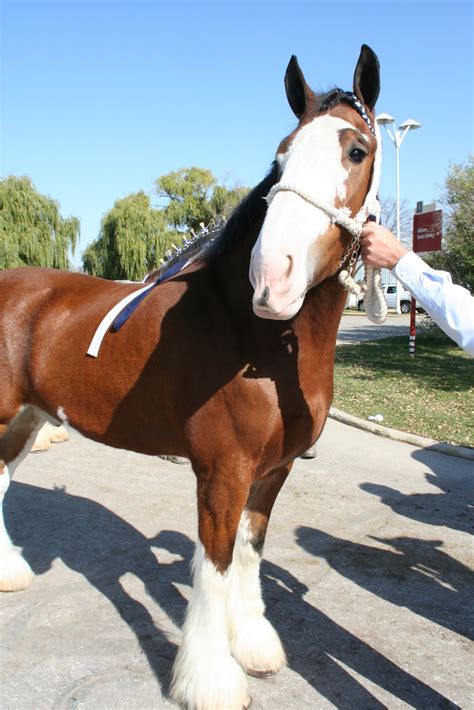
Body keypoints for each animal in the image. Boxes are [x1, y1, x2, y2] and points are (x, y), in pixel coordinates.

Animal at [0, 46, 380, 710]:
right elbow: (215, 564)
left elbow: (250, 555)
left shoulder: (272, 472)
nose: (273, 277)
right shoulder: (222, 471)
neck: (251, 336)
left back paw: (10, 573)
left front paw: (252, 644)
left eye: (357, 150)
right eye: (282, 153)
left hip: (26, 418)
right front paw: (210, 678)